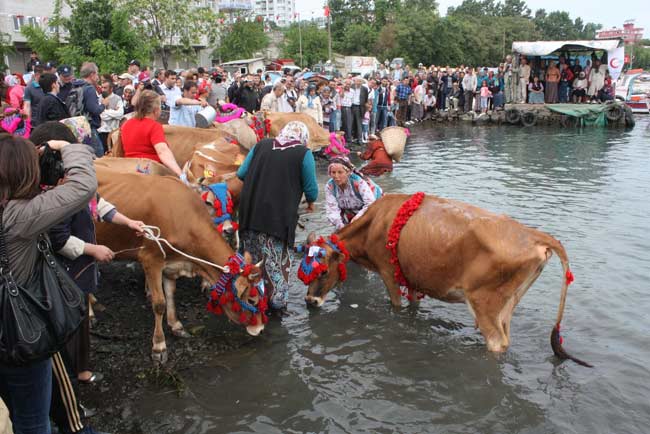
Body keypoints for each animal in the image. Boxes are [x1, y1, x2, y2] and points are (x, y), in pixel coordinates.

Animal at [94, 166, 266, 362]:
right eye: (252, 300)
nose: (260, 329)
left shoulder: (172, 263)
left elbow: (170, 294)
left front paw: (176, 325)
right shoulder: (150, 258)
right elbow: (159, 303)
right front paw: (159, 346)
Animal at [296, 193, 588, 366]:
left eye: (323, 271)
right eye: (303, 272)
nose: (310, 301)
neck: (376, 223)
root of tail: (534, 235)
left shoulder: (389, 273)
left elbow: (396, 307)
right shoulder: (410, 278)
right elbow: (413, 306)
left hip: (484, 302)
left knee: (497, 342)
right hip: (507, 303)